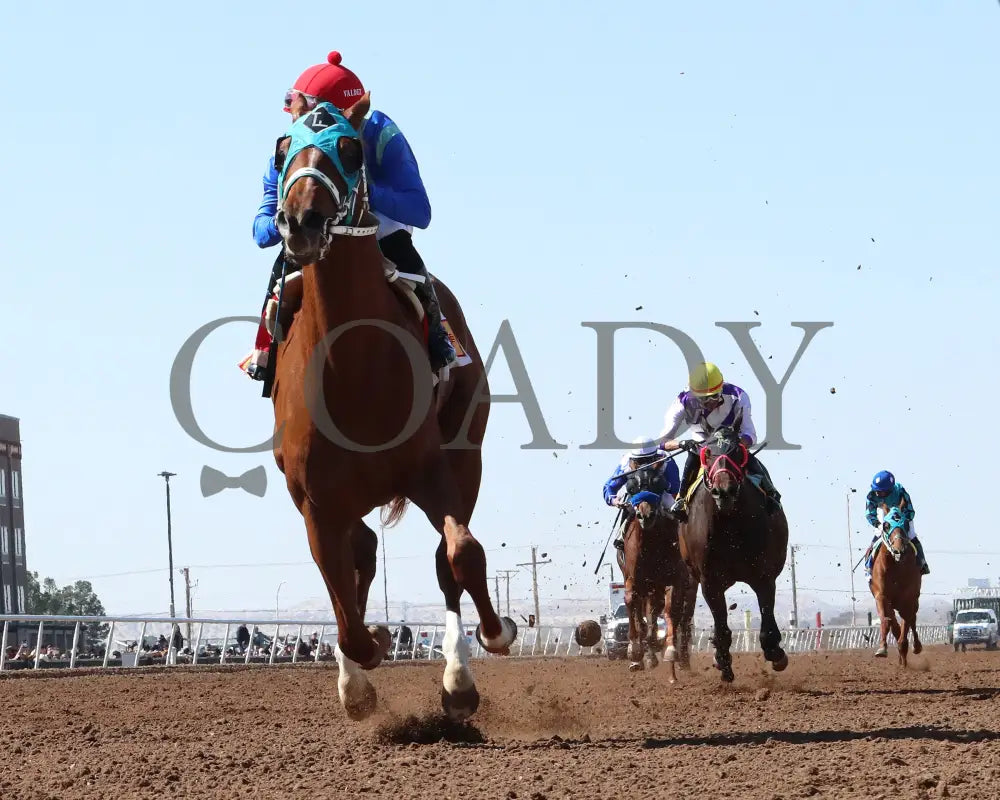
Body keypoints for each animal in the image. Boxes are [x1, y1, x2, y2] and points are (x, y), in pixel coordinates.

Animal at [266, 94, 516, 720]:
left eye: (350, 147)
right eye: (282, 150)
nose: (300, 222)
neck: (353, 369)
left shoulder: (431, 470)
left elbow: (463, 553)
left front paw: (493, 637)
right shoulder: (316, 501)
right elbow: (342, 599)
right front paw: (365, 664)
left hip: (466, 455)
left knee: (441, 559)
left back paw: (458, 677)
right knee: (361, 551)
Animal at [616, 462, 696, 680]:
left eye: (658, 483)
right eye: (631, 485)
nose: (645, 514)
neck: (651, 545)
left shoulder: (675, 579)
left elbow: (671, 611)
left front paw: (670, 651)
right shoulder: (634, 580)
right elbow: (632, 605)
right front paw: (635, 654)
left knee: (683, 619)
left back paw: (681, 659)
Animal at [676, 424, 792, 680]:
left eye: (738, 451)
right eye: (707, 452)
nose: (724, 491)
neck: (731, 525)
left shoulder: (764, 576)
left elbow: (767, 622)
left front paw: (776, 653)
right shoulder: (709, 581)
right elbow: (721, 626)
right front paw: (722, 661)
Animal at [868, 504, 920, 664]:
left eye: (906, 523)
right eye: (886, 525)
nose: (899, 551)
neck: (896, 566)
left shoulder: (908, 599)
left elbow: (907, 623)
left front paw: (904, 651)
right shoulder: (881, 596)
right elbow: (887, 620)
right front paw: (882, 649)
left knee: (912, 619)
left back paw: (916, 647)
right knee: (894, 622)